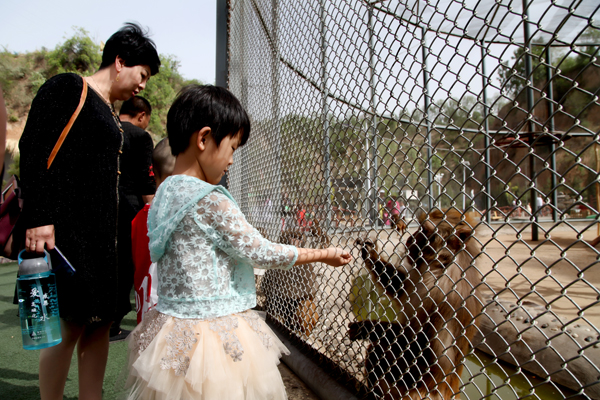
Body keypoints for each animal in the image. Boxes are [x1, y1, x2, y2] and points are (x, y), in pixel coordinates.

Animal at [350, 208, 480, 398]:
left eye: (424, 231)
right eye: (420, 228)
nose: (410, 238)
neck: (440, 264)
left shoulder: (443, 291)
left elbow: (435, 359)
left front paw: (369, 328)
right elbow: (401, 288)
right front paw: (370, 253)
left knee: (379, 352)